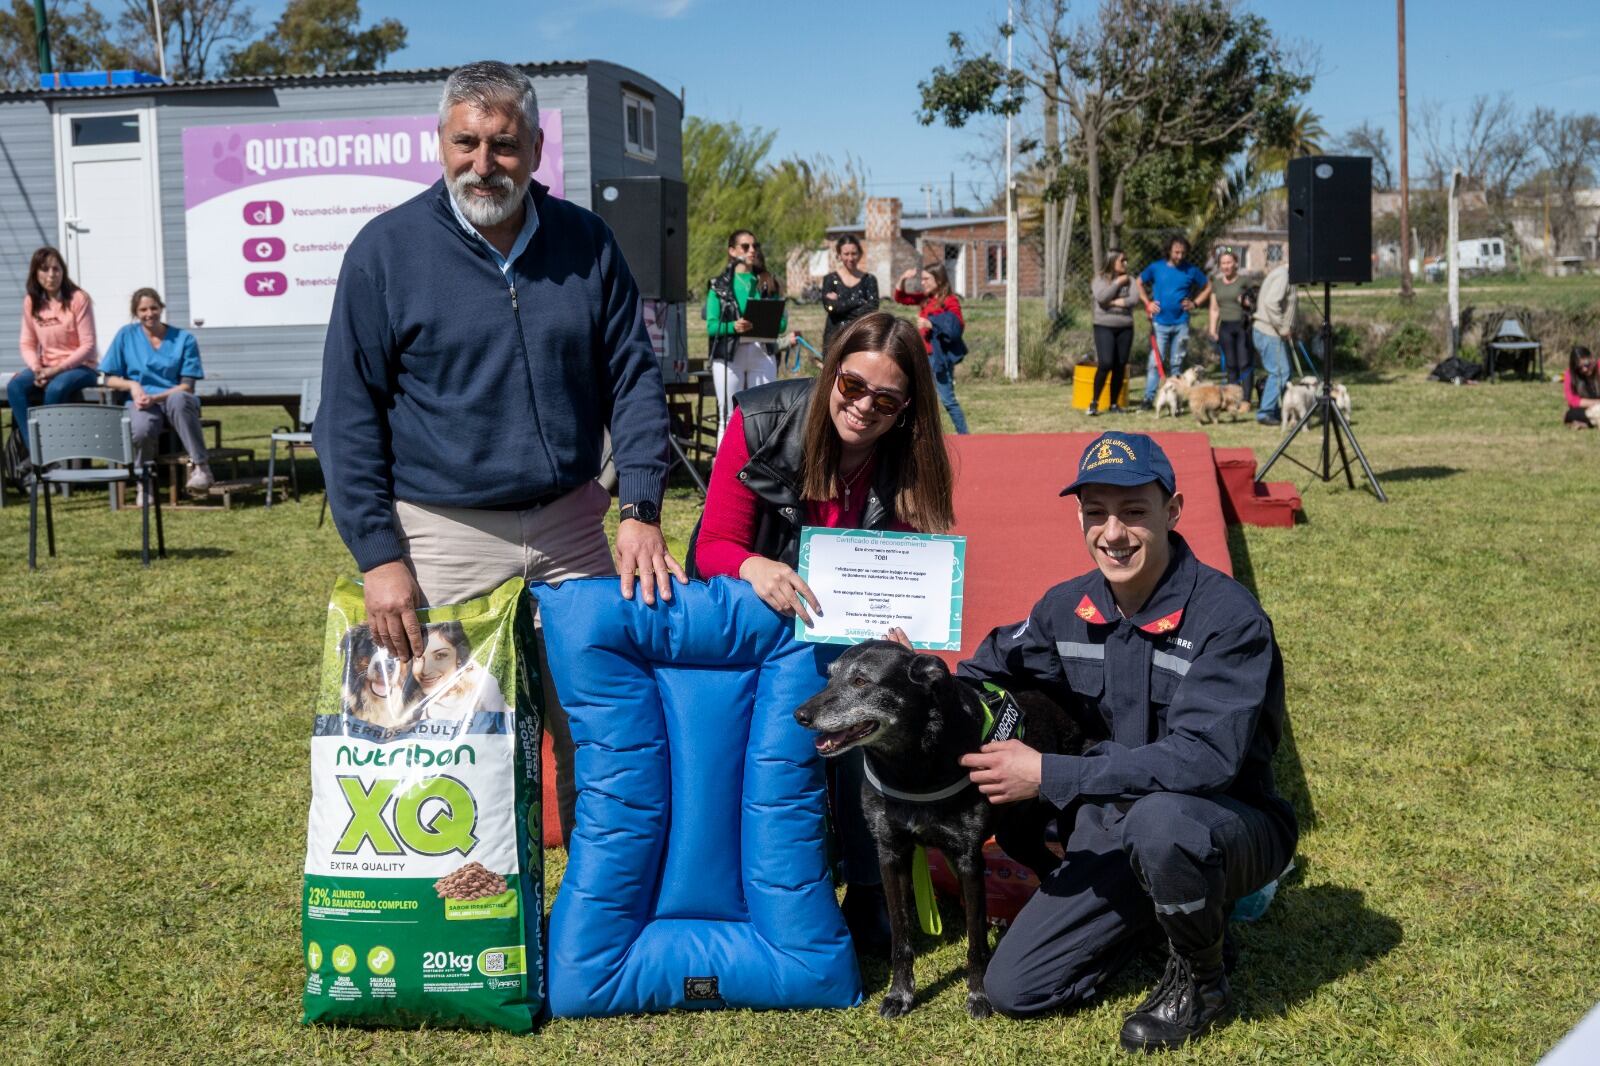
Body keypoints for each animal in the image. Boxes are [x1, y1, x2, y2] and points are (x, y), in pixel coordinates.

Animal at [796, 633, 1094, 1017]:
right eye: (830, 676)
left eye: (861, 681)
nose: (800, 715)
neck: (912, 767)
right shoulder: (891, 854)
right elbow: (901, 938)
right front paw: (900, 994)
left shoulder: (968, 858)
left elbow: (976, 943)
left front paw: (979, 996)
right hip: (1017, 835)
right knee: (1047, 865)